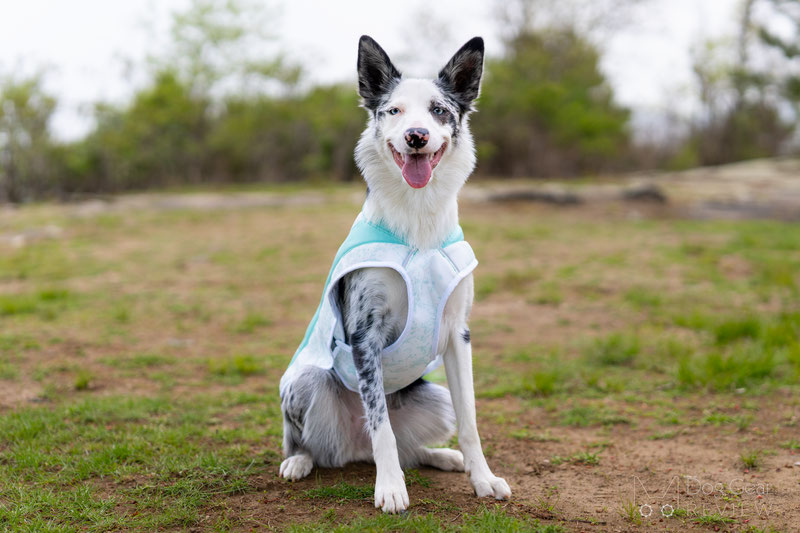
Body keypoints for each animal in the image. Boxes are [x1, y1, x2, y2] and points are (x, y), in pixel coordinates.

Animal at [278, 33, 510, 512]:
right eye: (394, 110)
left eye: (439, 110)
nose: (416, 136)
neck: (417, 228)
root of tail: (353, 450)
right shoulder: (365, 334)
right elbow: (380, 425)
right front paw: (389, 489)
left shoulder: (458, 335)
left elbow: (472, 421)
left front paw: (483, 478)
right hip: (303, 381)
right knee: (316, 442)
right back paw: (300, 462)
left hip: (435, 395)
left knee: (409, 448)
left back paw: (442, 456)